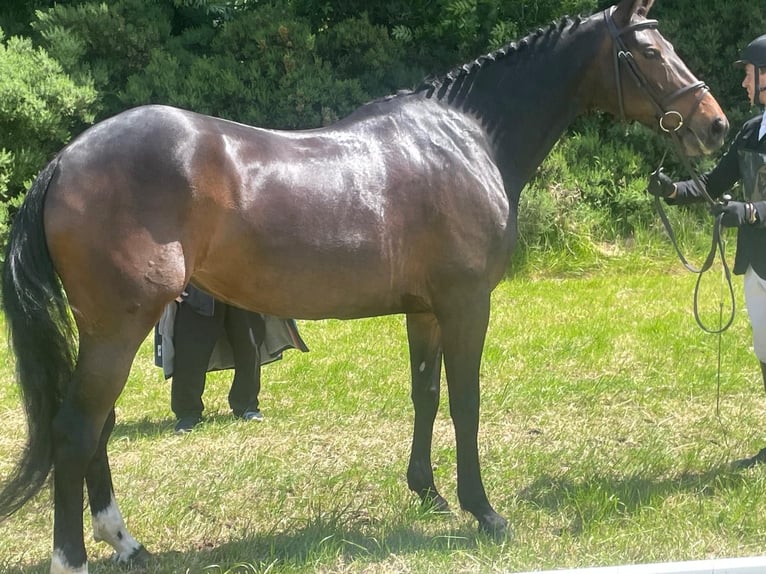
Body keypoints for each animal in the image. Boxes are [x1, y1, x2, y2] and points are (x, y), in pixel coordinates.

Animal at [1, 2, 732, 572]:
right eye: (647, 51)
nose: (717, 125)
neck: (465, 139)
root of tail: (66, 159)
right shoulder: (467, 304)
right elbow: (465, 402)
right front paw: (484, 512)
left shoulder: (425, 311)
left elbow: (425, 396)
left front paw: (428, 493)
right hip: (119, 327)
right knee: (77, 429)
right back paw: (74, 557)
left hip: (108, 331)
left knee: (95, 427)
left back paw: (125, 543)